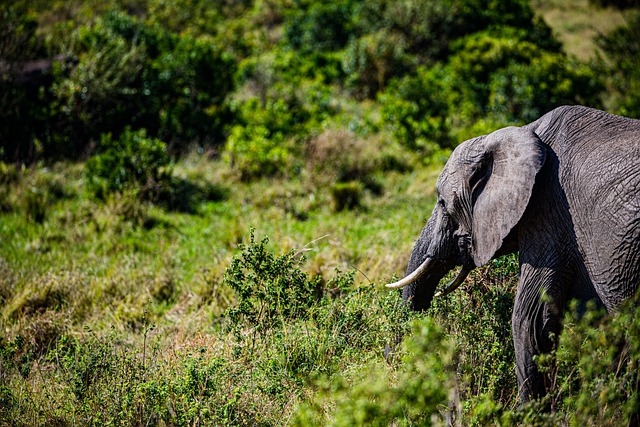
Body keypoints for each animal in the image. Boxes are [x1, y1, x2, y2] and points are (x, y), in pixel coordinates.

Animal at [384, 105, 640, 402]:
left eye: (442, 202)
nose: (397, 373)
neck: (523, 132)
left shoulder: (549, 213)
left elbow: (529, 320)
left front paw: (528, 411)